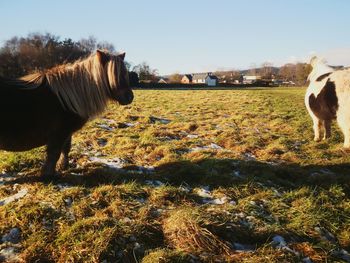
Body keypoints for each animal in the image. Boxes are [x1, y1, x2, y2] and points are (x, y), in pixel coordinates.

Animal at [0, 50, 134, 179]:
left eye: (125, 74)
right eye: (114, 75)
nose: (129, 97)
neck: (68, 99)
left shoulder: (66, 133)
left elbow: (65, 149)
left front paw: (63, 167)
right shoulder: (59, 134)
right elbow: (54, 154)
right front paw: (48, 175)